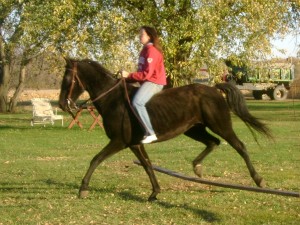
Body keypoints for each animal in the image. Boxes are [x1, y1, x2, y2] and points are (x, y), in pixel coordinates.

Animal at [58, 58, 272, 200]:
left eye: (68, 79)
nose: (62, 104)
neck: (113, 100)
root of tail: (213, 89)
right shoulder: (135, 144)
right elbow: (147, 165)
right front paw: (155, 192)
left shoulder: (119, 141)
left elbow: (96, 159)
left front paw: (83, 188)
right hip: (193, 129)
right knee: (213, 142)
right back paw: (197, 167)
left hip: (220, 125)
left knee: (239, 146)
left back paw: (259, 180)